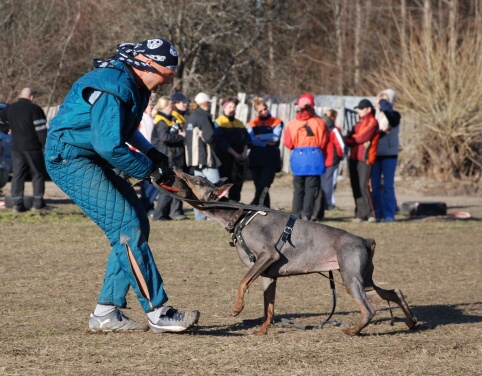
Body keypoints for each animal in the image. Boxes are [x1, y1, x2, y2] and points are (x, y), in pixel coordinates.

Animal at [168, 167, 416, 334]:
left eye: (197, 180)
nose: (176, 168)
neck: (239, 217)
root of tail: (365, 240)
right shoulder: (268, 275)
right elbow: (269, 308)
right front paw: (262, 331)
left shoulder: (268, 255)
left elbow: (242, 281)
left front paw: (237, 308)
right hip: (361, 280)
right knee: (394, 292)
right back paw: (410, 321)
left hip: (351, 278)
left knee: (369, 309)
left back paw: (352, 331)